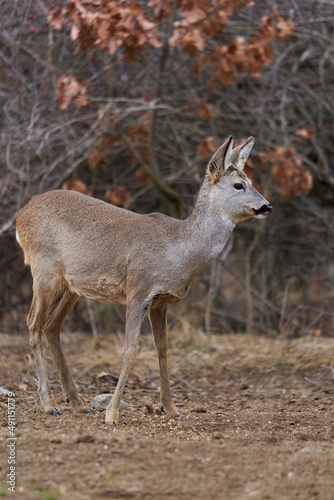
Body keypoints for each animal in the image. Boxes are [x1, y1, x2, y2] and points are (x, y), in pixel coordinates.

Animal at [15, 135, 272, 424]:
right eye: (239, 184)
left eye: (251, 181)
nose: (267, 206)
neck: (177, 251)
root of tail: (21, 213)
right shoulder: (138, 290)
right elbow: (130, 349)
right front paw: (112, 414)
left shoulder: (161, 301)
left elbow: (163, 349)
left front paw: (171, 408)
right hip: (43, 269)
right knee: (33, 323)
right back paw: (49, 404)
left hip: (72, 285)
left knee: (51, 326)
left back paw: (78, 403)